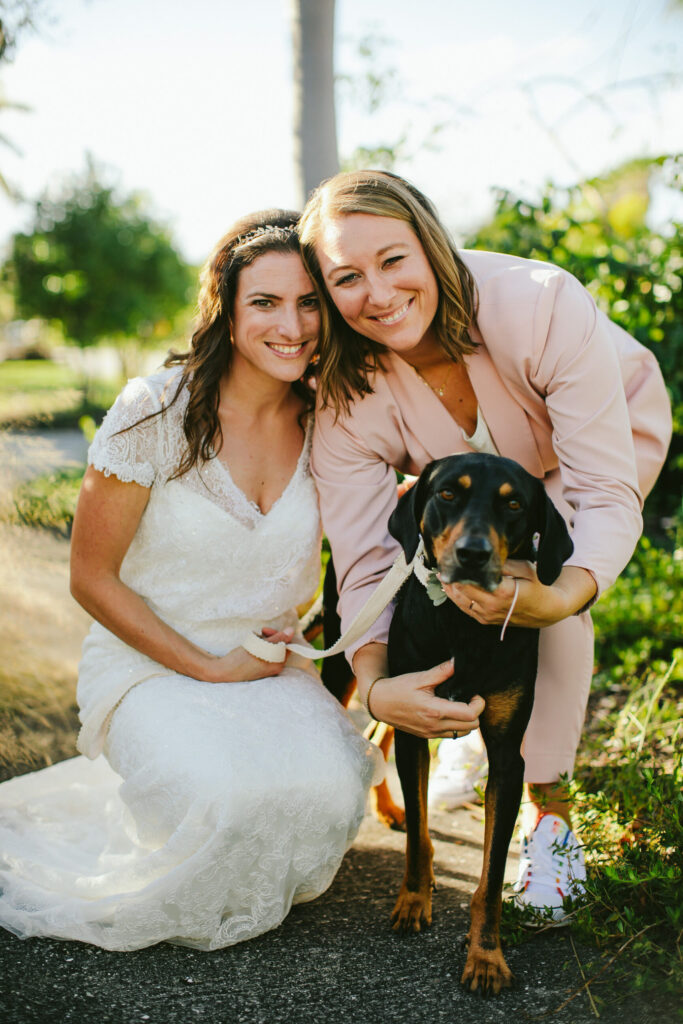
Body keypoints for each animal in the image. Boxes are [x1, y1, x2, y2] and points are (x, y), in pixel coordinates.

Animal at [387, 452, 573, 995]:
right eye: (448, 493)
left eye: (514, 504)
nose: (473, 554)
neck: (463, 627)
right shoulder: (412, 723)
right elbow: (416, 838)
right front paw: (414, 899)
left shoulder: (509, 760)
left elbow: (490, 879)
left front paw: (486, 956)